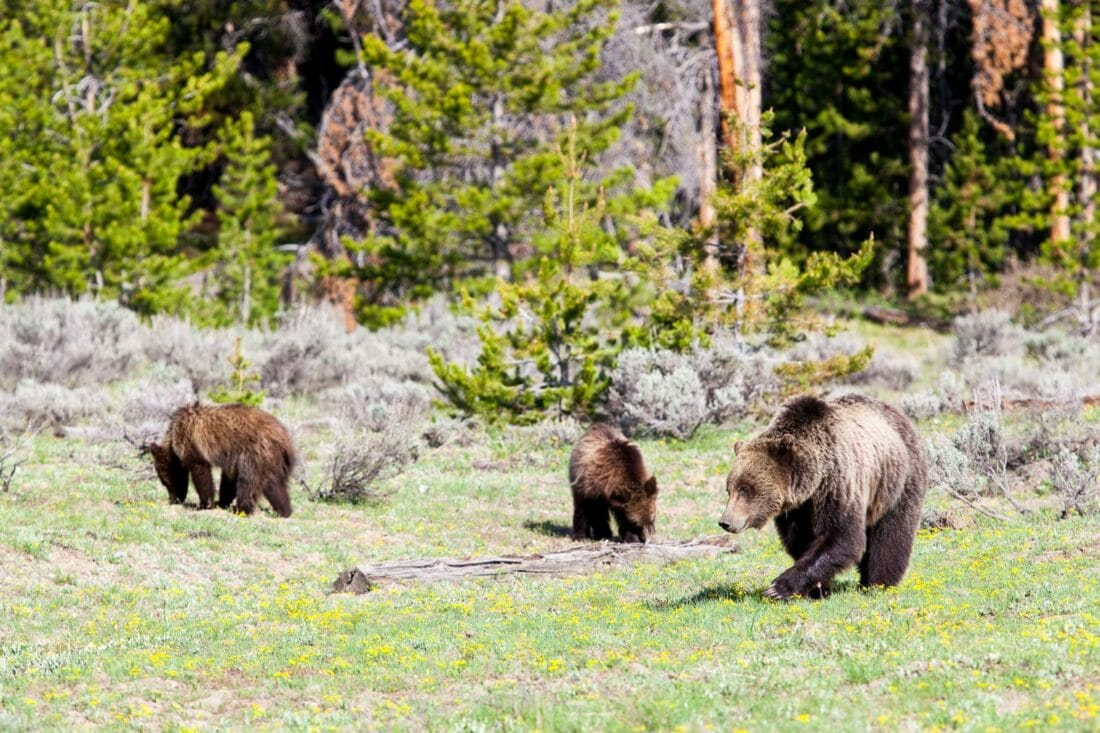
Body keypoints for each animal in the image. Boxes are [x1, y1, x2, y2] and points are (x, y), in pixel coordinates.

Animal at [150, 402, 299, 517]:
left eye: (165, 482)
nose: (173, 500)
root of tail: (284, 439)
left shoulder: (192, 443)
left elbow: (201, 473)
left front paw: (205, 503)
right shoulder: (233, 459)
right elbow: (228, 479)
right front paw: (220, 502)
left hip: (257, 453)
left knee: (249, 482)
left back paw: (241, 509)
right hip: (272, 460)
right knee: (274, 485)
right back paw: (284, 511)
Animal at [721, 396, 928, 598]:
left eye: (746, 489)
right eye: (729, 489)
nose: (725, 522)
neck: (813, 480)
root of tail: (900, 416)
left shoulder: (838, 485)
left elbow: (841, 536)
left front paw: (778, 588)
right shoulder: (798, 509)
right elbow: (800, 540)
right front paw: (818, 589)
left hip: (897, 481)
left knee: (891, 533)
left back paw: (878, 584)